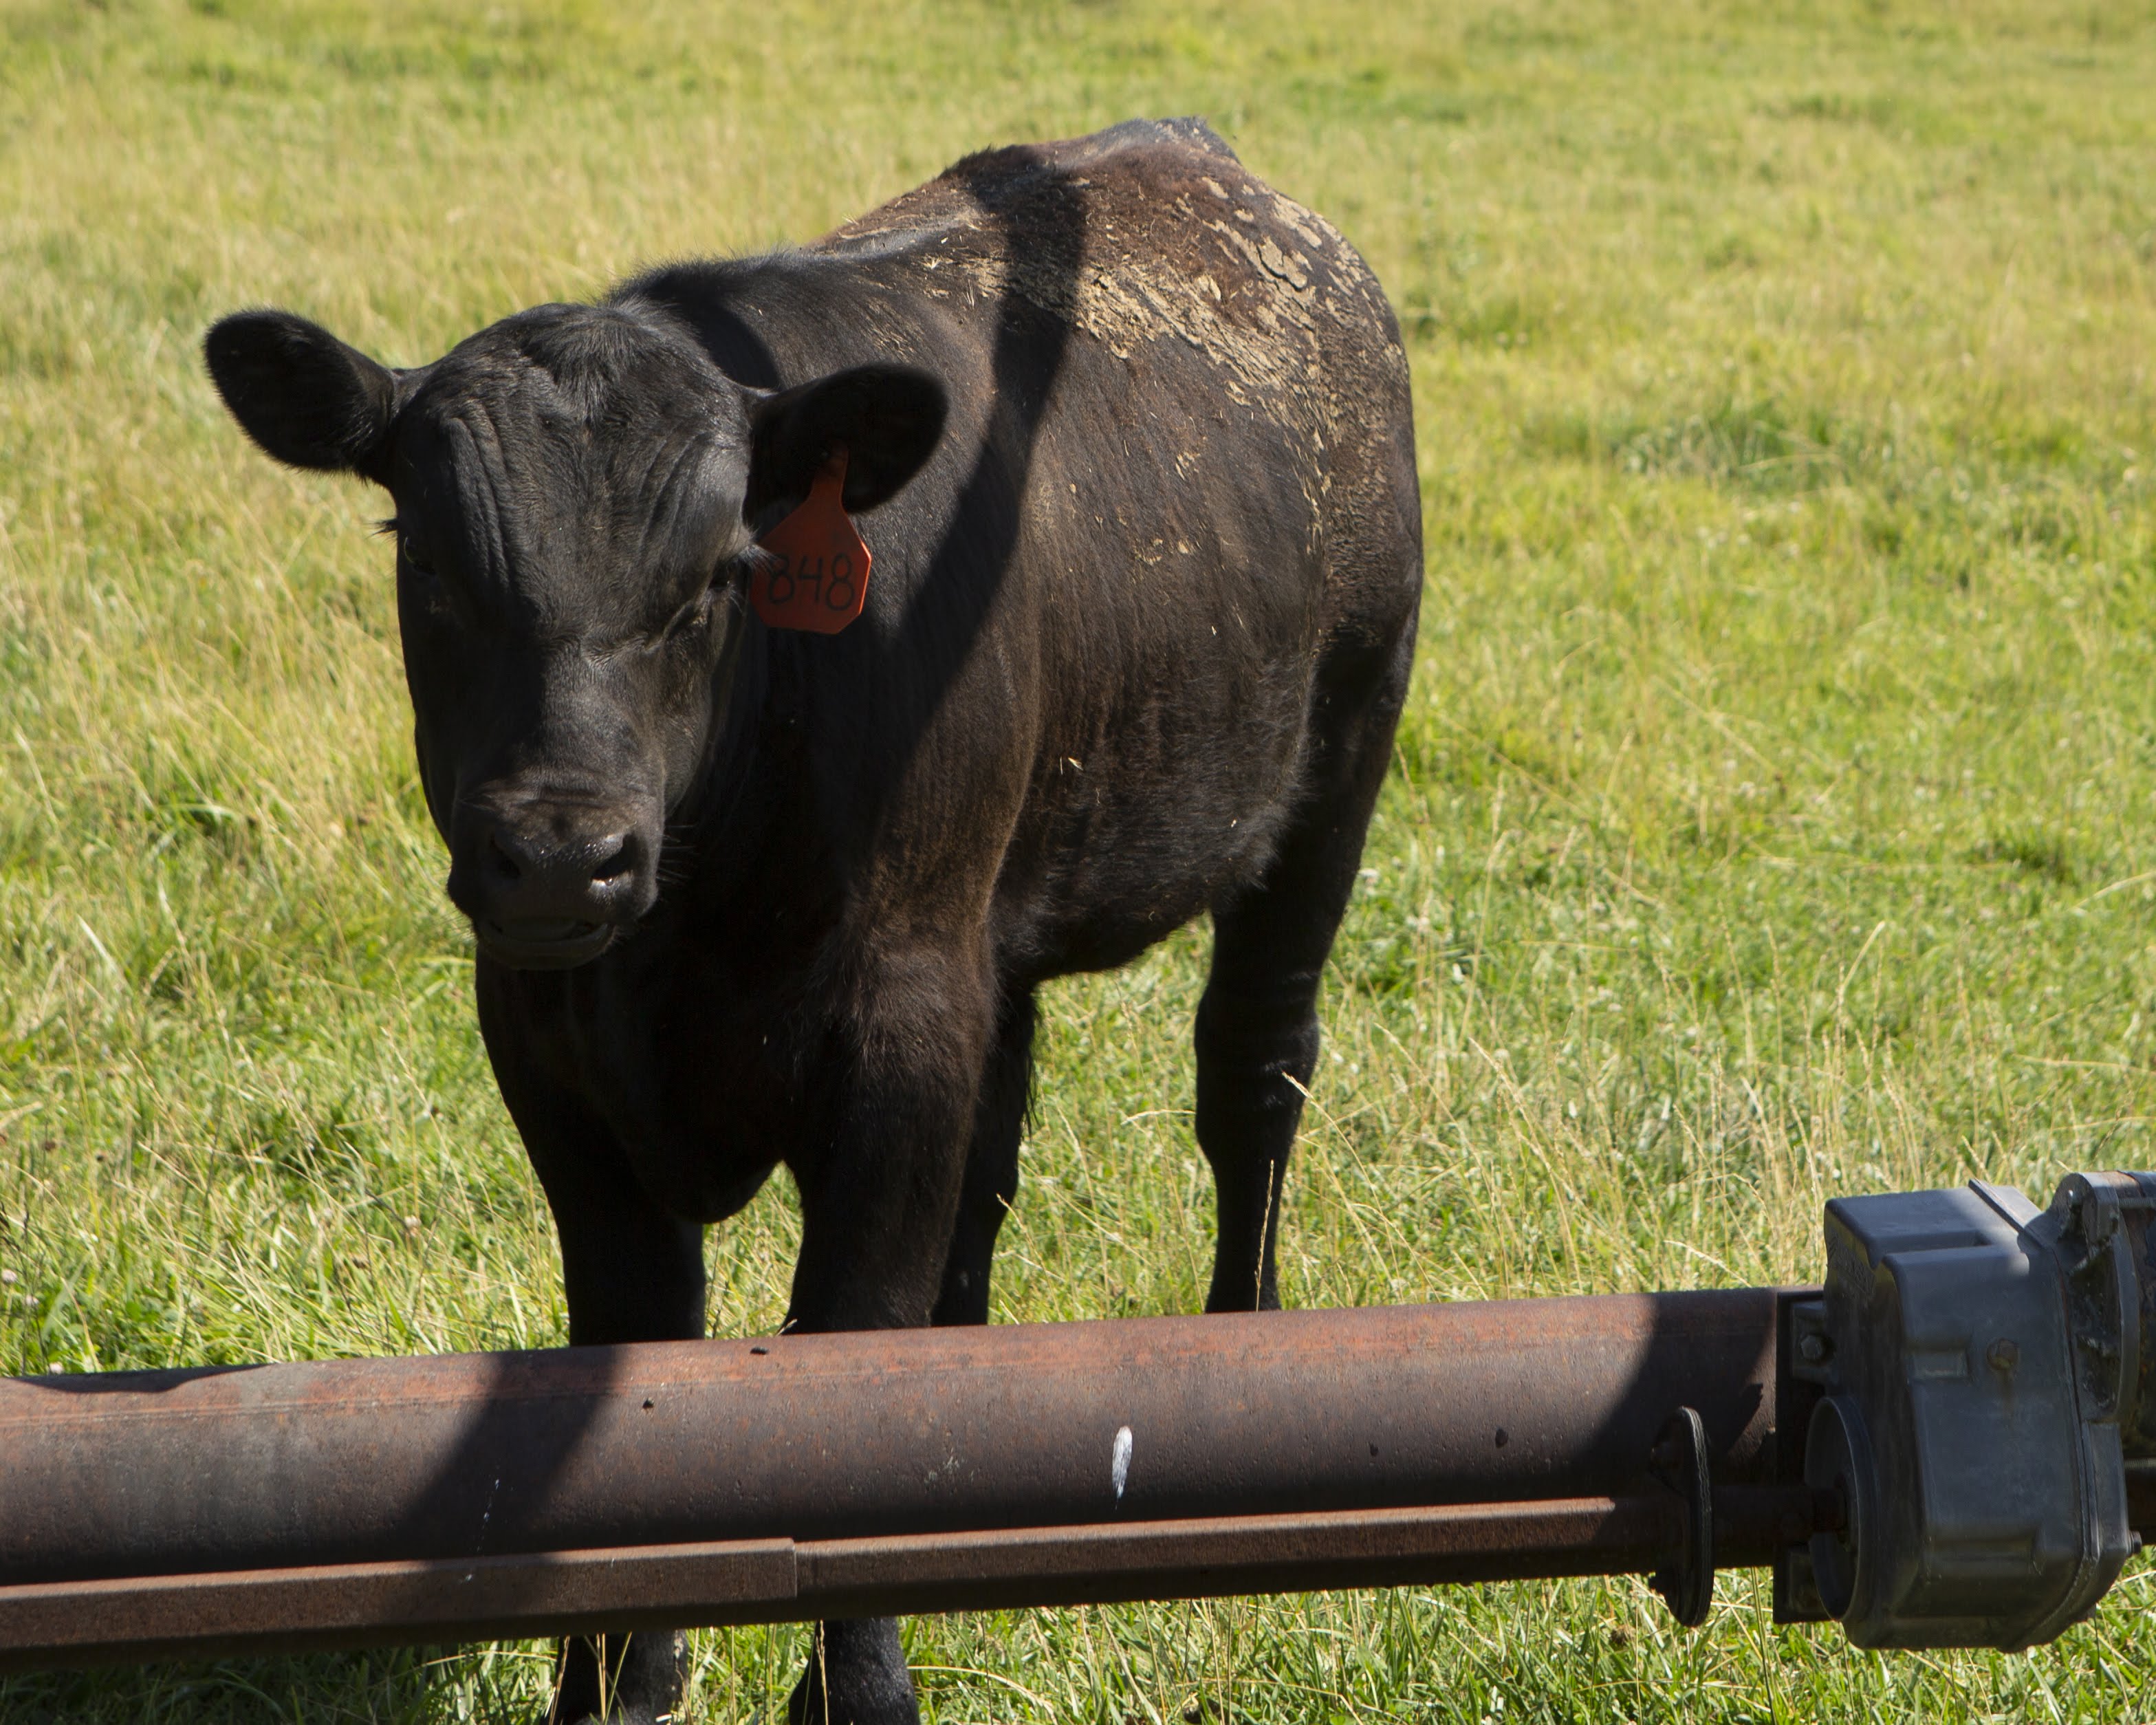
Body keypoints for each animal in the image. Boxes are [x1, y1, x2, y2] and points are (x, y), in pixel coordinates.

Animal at [205, 117, 1421, 1725]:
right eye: (427, 563)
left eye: (719, 577)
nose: (560, 856)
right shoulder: (546, 1044)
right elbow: (636, 1337)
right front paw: (618, 1675)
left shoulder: (894, 1024)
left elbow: (852, 1331)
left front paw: (859, 1684)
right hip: (995, 933)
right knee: (994, 1167)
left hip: (1335, 762)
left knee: (1255, 1073)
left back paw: (1247, 1333)